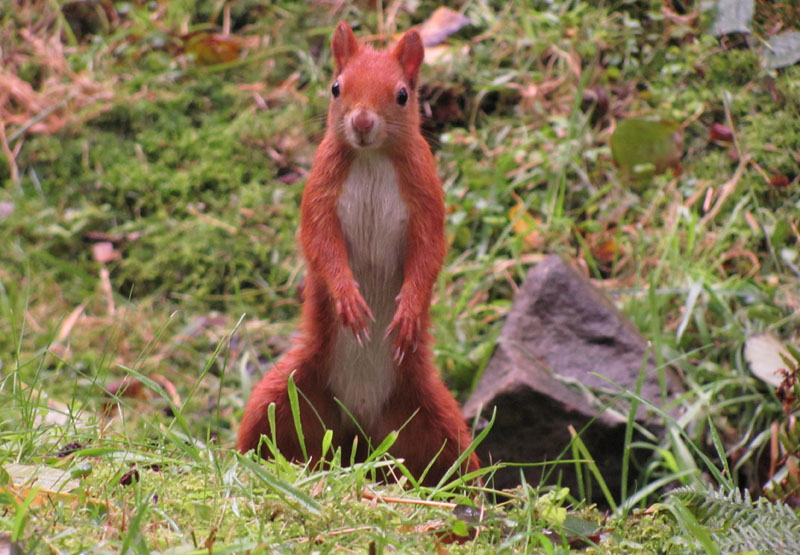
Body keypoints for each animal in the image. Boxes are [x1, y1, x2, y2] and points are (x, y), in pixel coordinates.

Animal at [236, 21, 476, 484]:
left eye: (402, 94)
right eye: (335, 87)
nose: (362, 121)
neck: (371, 158)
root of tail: (360, 434)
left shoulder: (426, 198)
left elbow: (429, 255)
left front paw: (409, 312)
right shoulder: (319, 194)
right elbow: (320, 244)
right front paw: (347, 297)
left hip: (434, 418)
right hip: (284, 395)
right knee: (267, 432)